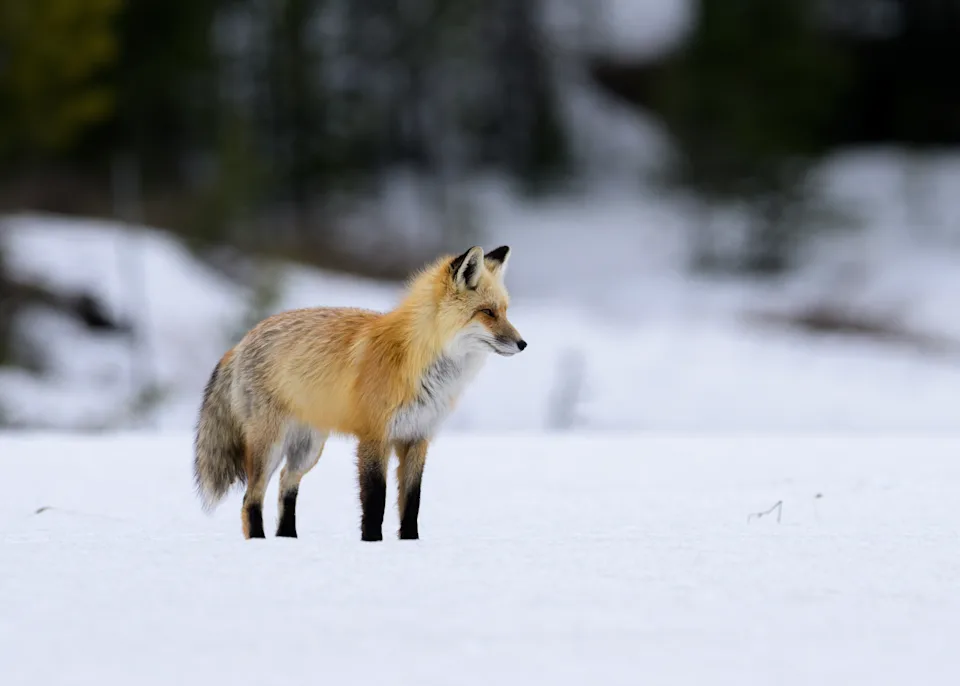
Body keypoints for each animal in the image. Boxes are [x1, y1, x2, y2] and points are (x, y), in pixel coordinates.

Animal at [193, 245, 526, 541]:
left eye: (505, 311)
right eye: (487, 312)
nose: (523, 344)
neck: (416, 361)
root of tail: (243, 339)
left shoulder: (417, 437)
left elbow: (412, 502)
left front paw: (411, 544)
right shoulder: (374, 437)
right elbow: (375, 500)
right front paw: (372, 544)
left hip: (307, 450)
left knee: (286, 484)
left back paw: (288, 538)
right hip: (270, 445)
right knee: (251, 498)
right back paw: (260, 543)